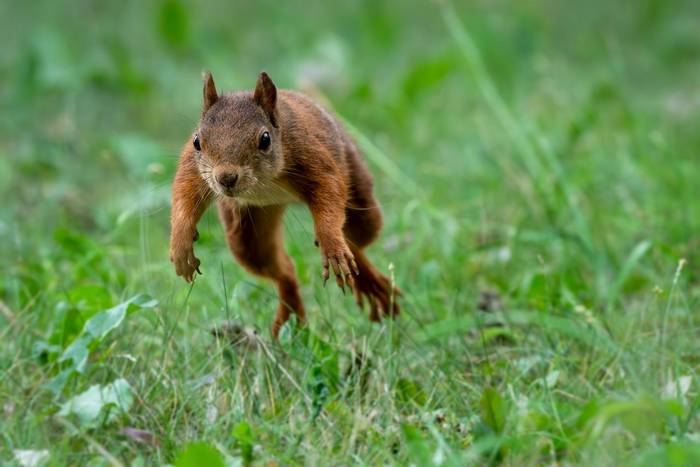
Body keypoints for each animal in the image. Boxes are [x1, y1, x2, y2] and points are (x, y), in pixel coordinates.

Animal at [169, 71, 399, 337]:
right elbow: (183, 196)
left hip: (359, 193)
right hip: (250, 232)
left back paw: (360, 273)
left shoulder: (310, 155)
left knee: (357, 239)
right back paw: (291, 315)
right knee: (283, 270)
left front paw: (331, 243)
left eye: (265, 139)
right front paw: (181, 245)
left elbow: (330, 190)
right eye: (197, 141)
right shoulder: (193, 168)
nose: (225, 178)